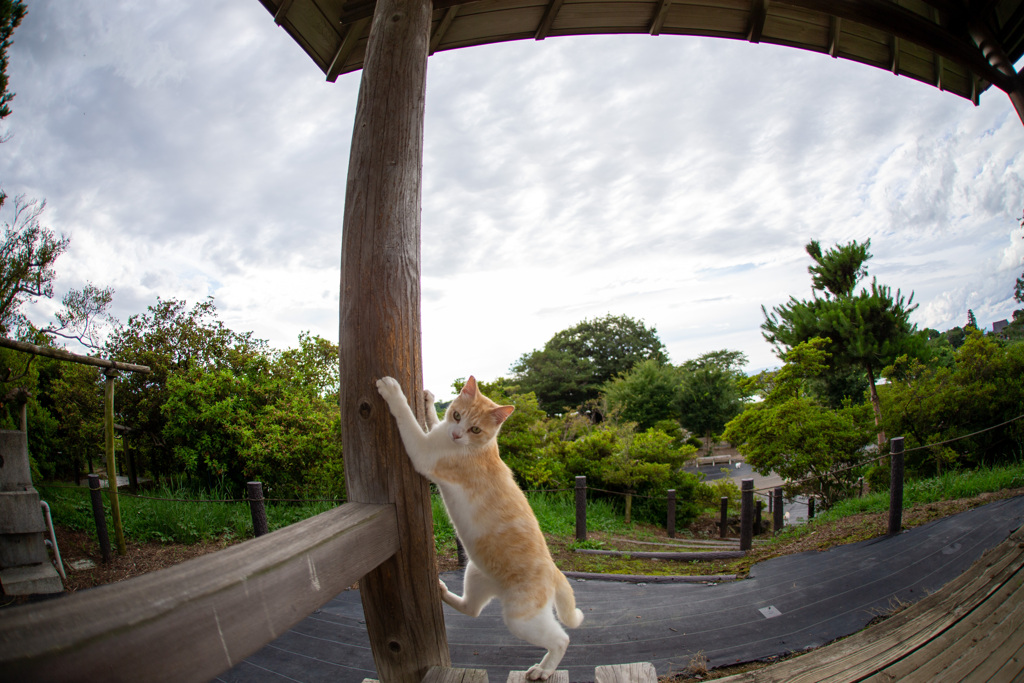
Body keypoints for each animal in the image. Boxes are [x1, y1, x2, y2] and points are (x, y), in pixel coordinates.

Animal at [376, 376, 585, 679]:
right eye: (457, 415)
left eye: (475, 429)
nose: (456, 435)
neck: (478, 446)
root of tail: (554, 569)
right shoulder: (437, 432)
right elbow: (431, 420)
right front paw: (428, 402)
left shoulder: (423, 453)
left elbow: (407, 417)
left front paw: (393, 392)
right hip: (474, 574)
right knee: (471, 610)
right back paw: (443, 593)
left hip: (522, 619)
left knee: (561, 639)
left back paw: (543, 670)